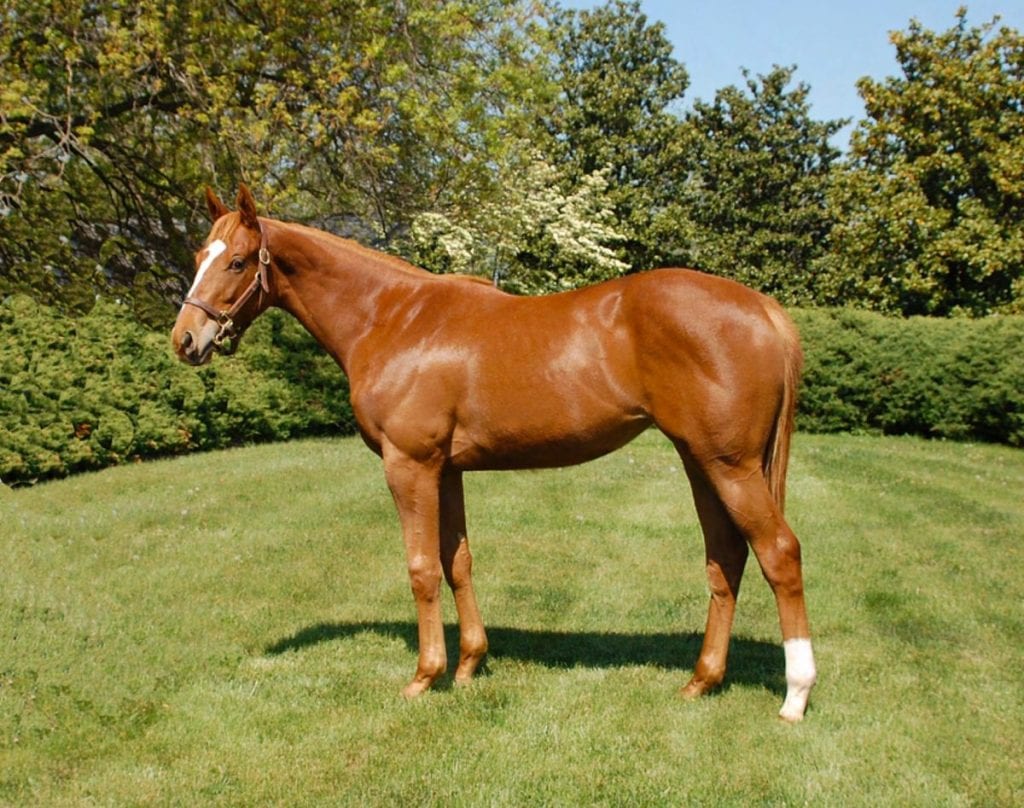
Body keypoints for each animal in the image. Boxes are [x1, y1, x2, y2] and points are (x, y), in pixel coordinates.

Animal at [172, 186, 819, 720]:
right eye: (199, 255)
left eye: (236, 261)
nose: (185, 340)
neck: (394, 318)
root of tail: (764, 309)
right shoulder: (446, 470)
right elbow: (457, 562)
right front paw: (467, 666)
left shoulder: (409, 466)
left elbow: (421, 568)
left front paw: (424, 676)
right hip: (700, 462)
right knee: (726, 559)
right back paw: (701, 682)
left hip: (729, 466)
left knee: (779, 553)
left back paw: (795, 695)